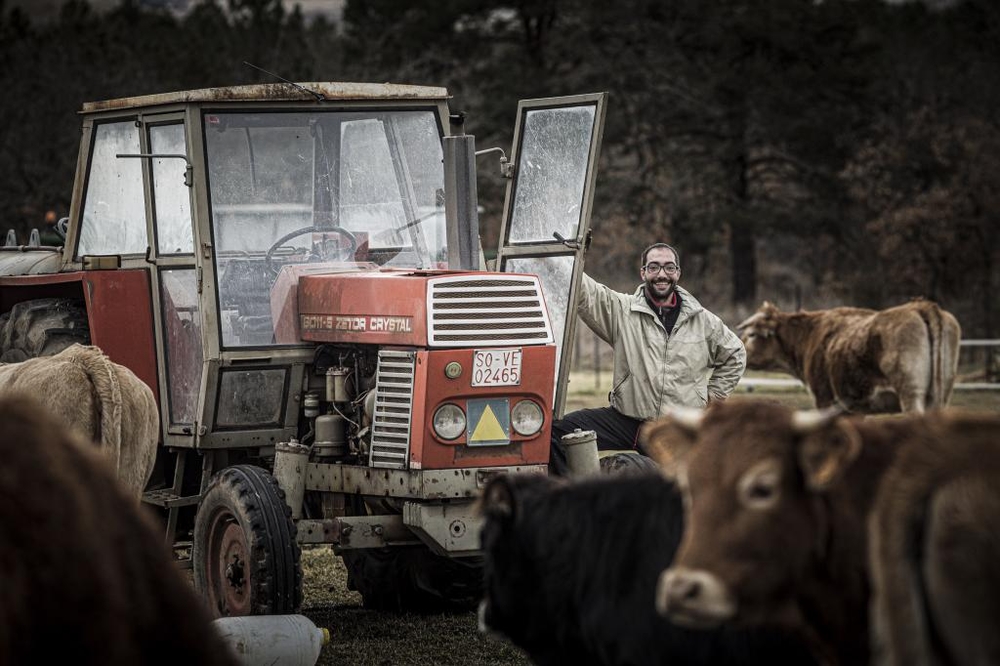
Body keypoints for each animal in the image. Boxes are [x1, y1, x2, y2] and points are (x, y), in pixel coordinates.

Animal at [736, 300, 960, 410]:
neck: (809, 335)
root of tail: (921, 306)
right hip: (941, 397)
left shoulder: (826, 400)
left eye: (752, 334)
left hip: (911, 395)